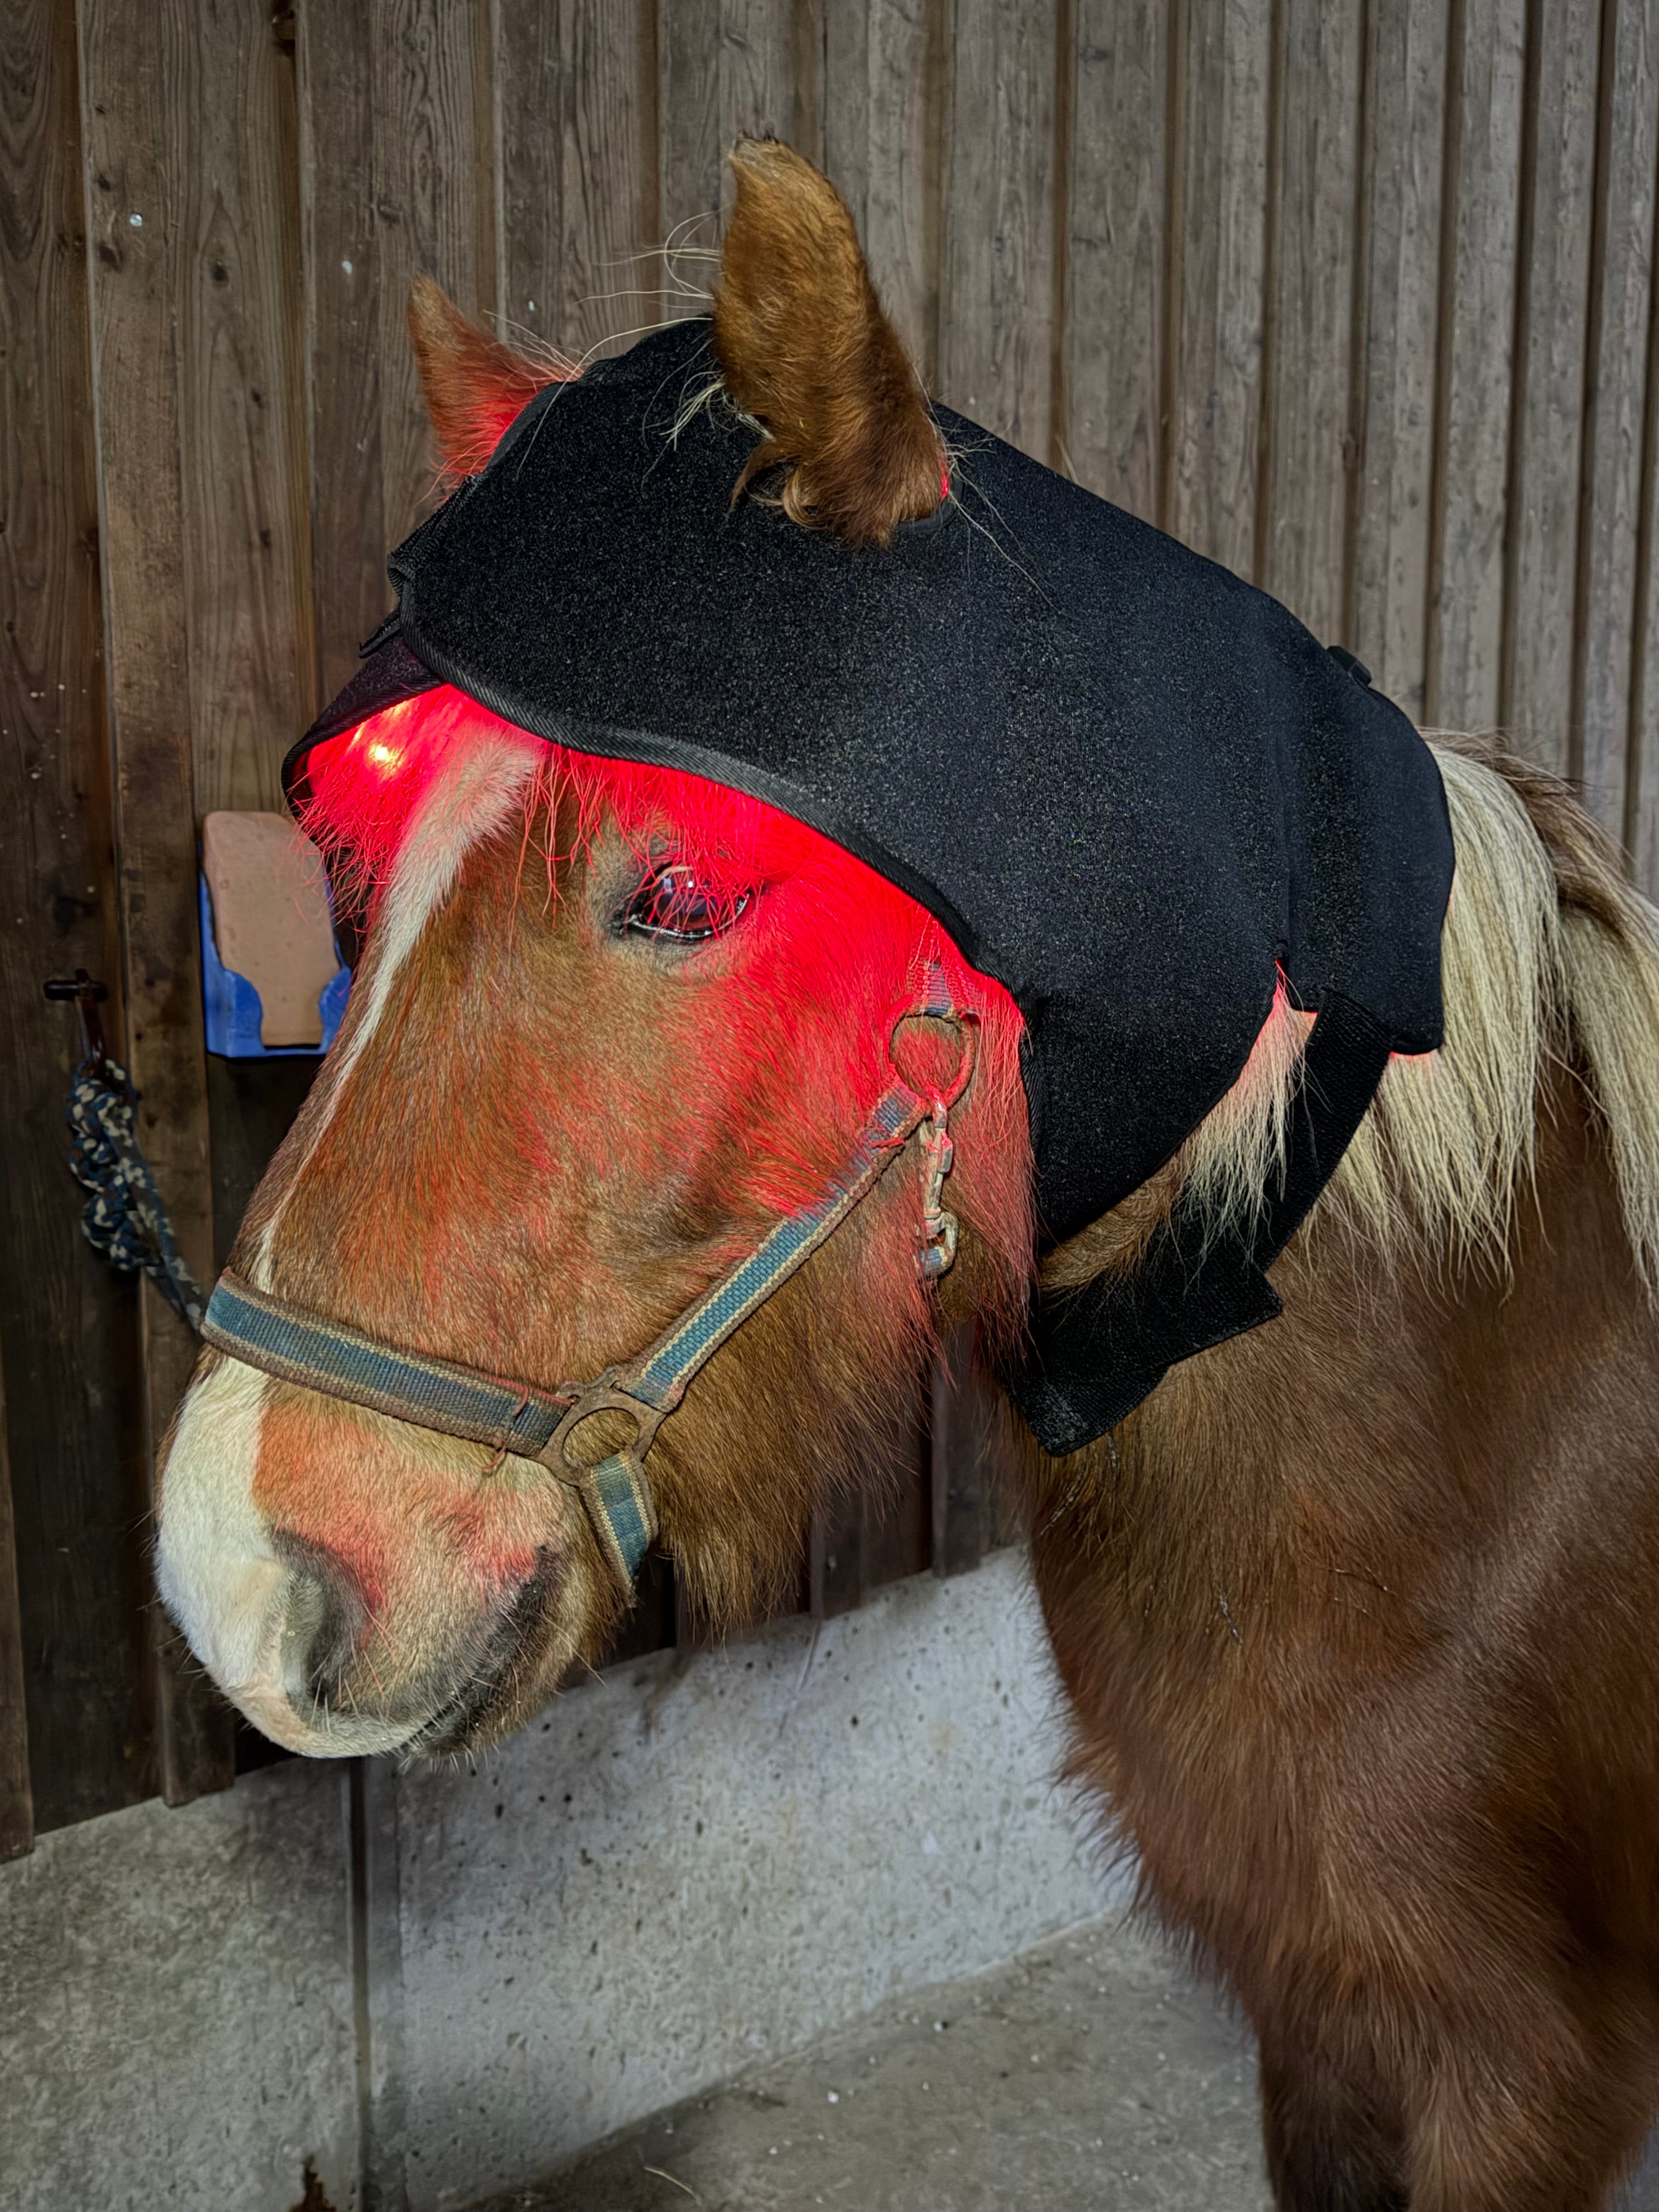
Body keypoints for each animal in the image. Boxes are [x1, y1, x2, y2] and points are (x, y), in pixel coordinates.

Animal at [156, 141, 1659, 2210]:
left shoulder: (1511, 2083)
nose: (234, 1575)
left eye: (681, 892)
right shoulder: (1322, 2031)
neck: (1491, 1436)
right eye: (359, 864)